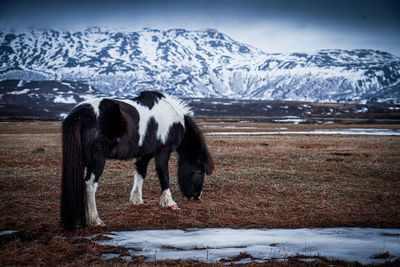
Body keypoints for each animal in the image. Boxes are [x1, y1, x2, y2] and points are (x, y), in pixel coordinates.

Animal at [59, 91, 214, 231]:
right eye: (200, 171)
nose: (197, 196)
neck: (173, 118)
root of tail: (78, 114)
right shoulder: (163, 152)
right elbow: (164, 175)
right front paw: (170, 203)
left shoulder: (145, 154)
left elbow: (140, 174)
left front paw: (137, 200)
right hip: (97, 161)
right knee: (90, 185)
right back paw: (95, 220)